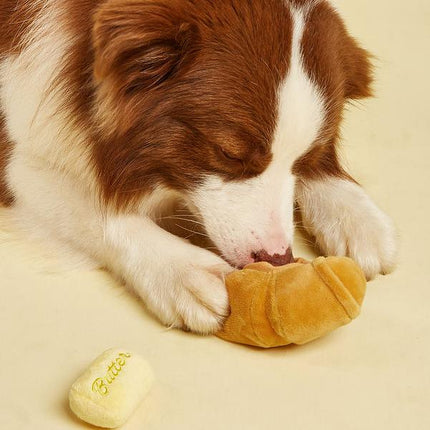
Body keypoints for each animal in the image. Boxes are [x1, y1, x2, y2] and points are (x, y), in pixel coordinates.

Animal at [0, 0, 396, 334]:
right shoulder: (14, 155)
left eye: (306, 158)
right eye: (229, 154)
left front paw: (356, 217)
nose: (278, 258)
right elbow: (99, 212)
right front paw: (185, 271)